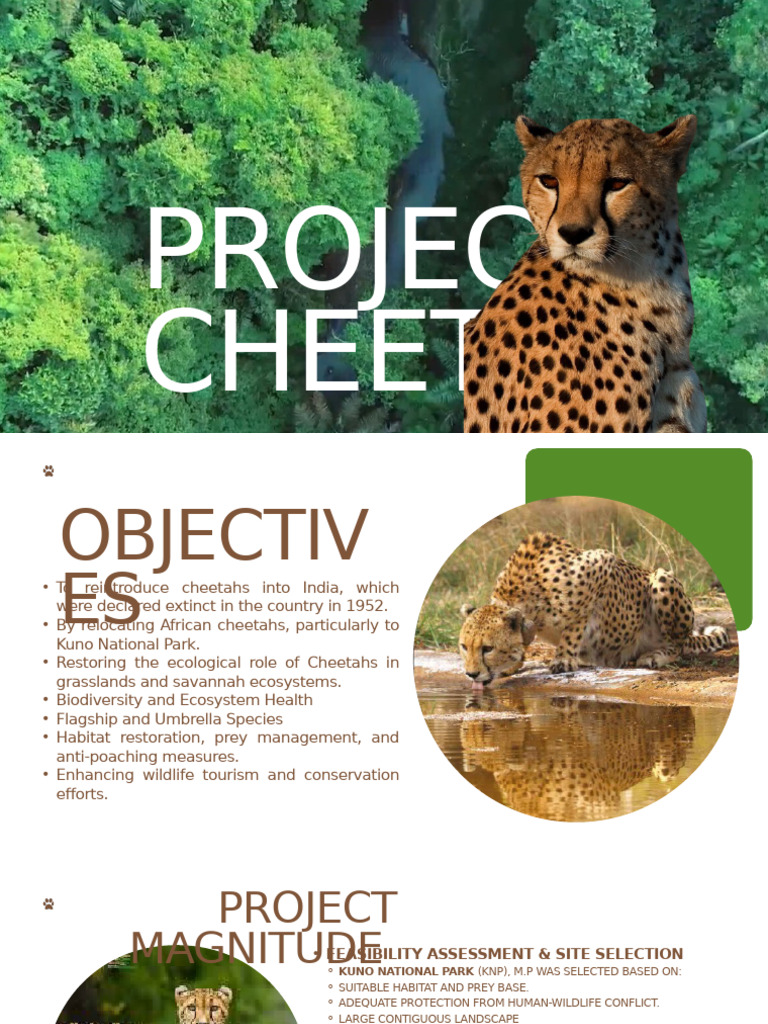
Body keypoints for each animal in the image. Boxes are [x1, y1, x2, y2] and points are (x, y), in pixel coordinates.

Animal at [459, 532, 729, 688]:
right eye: (463, 646)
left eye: (487, 648)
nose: (471, 674)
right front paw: (512, 666)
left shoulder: (601, 563)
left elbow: (576, 623)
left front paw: (564, 658)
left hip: (662, 578)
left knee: (678, 646)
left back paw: (655, 655)